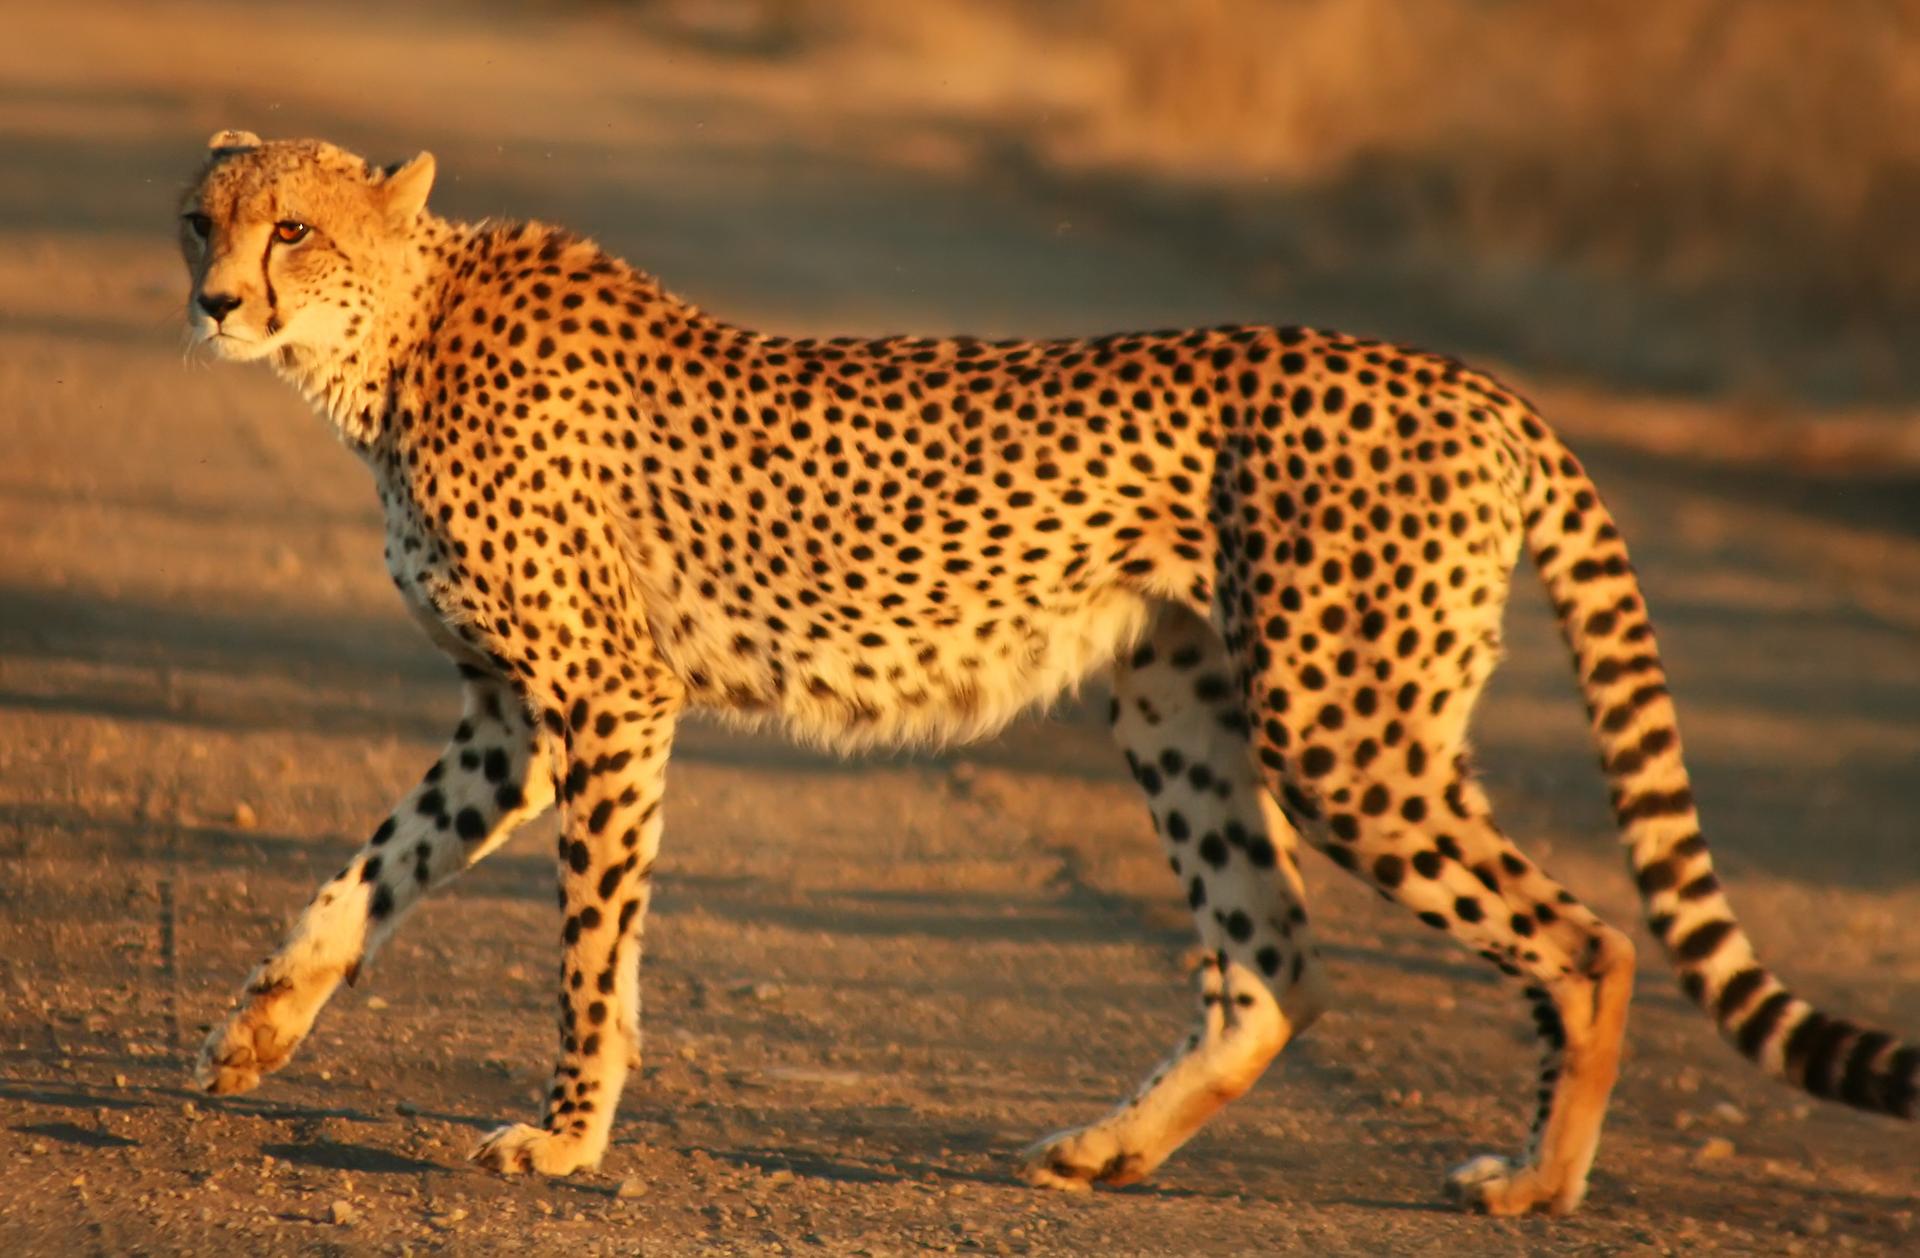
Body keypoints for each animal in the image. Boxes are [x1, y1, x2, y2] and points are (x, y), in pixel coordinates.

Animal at [180, 132, 1920, 1213]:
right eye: (206, 219)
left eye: (295, 232)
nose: (211, 301)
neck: (392, 338)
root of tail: (1473, 379)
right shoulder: (510, 715)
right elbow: (374, 866)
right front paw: (260, 1027)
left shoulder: (607, 697)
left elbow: (591, 945)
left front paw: (563, 1137)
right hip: (1182, 705)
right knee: (1273, 963)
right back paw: (1111, 1150)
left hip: (1342, 726)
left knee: (1589, 936)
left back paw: (1539, 1181)